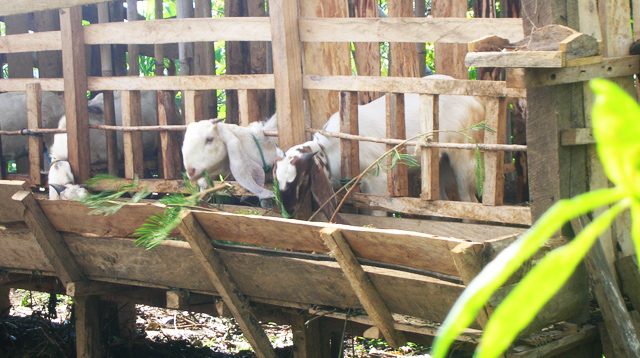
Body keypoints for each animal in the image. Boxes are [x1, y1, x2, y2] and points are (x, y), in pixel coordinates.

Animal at [274, 75, 484, 214]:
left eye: (301, 178)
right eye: (277, 179)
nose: (289, 210)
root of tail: (475, 101)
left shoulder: (378, 182)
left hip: (465, 158)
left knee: (469, 201)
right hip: (440, 163)